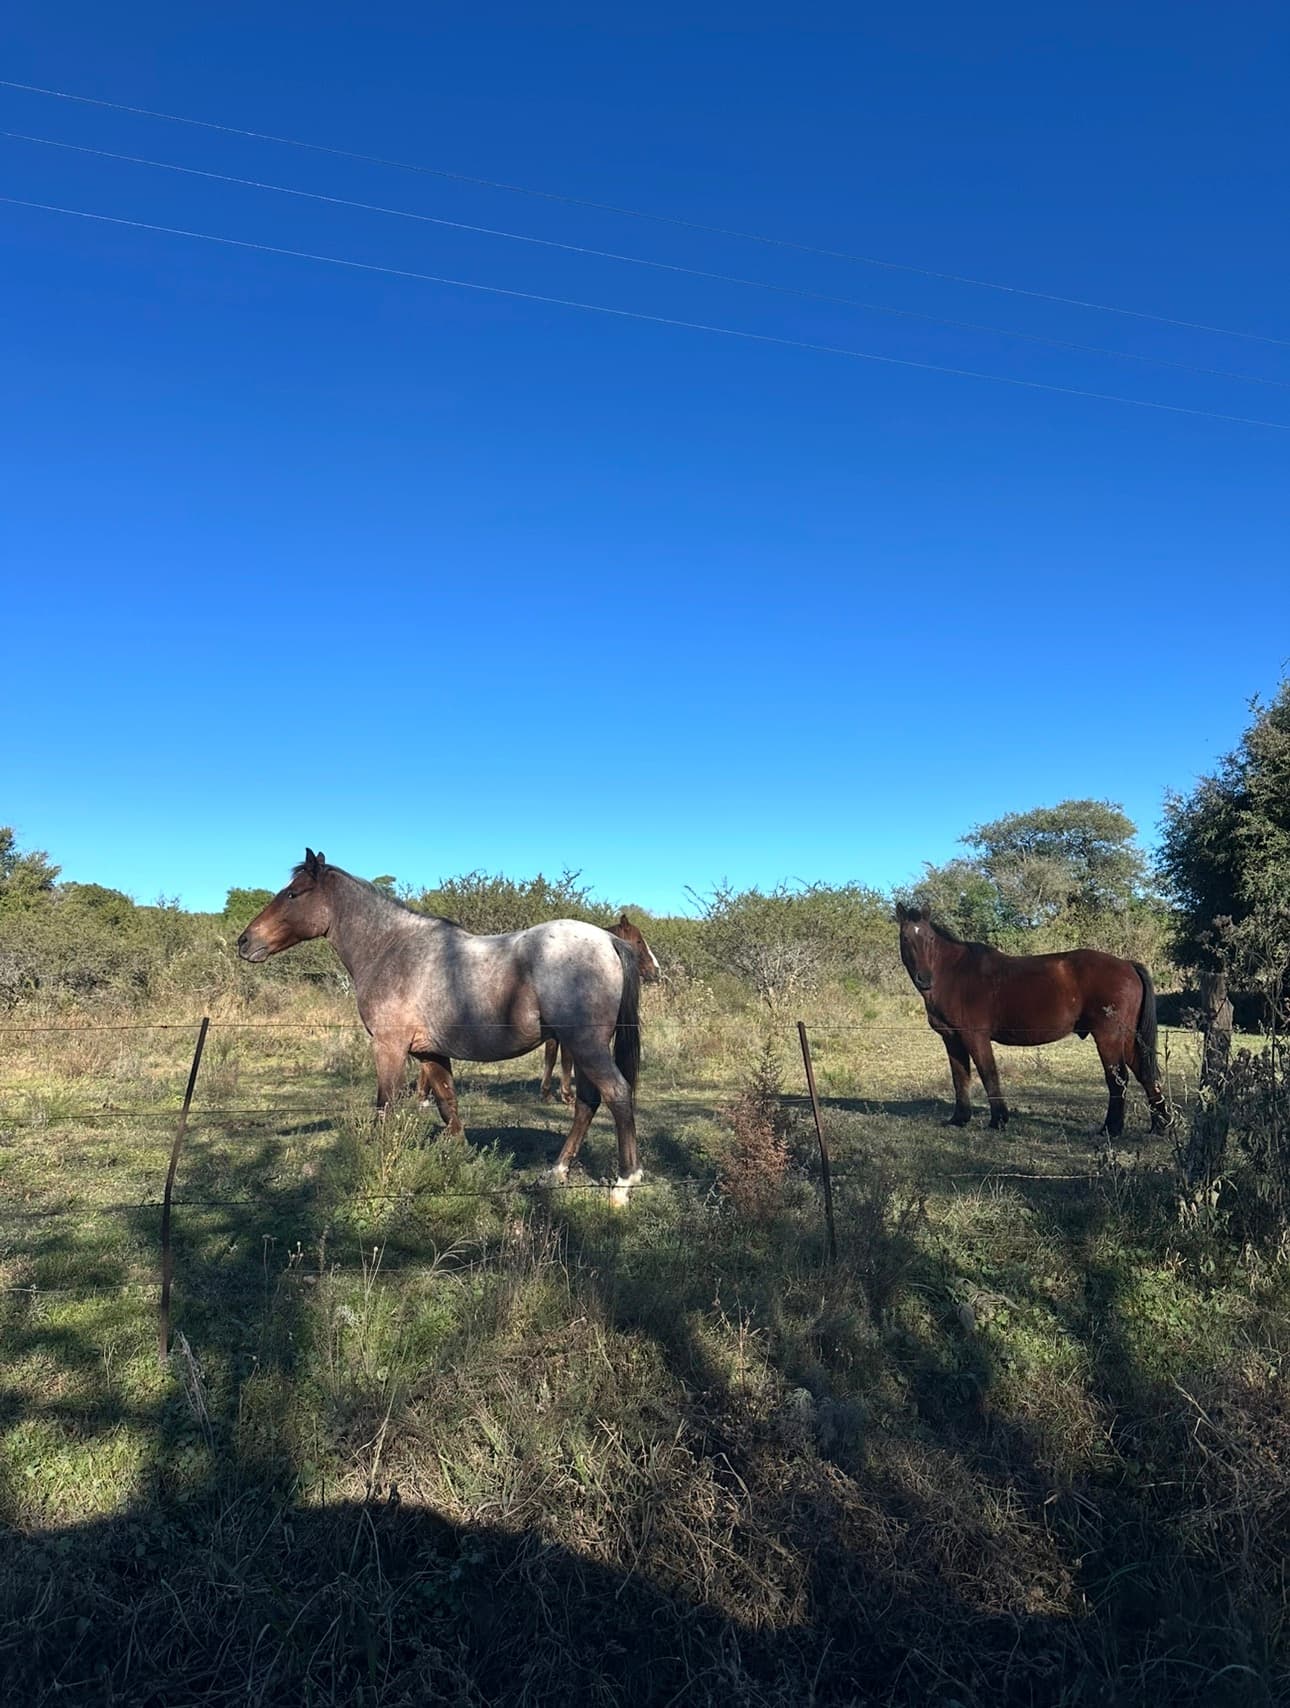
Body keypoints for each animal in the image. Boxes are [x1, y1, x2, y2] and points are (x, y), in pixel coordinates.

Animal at [238, 851, 644, 1201]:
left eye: (292, 894)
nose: (244, 941)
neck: (391, 949)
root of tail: (609, 940)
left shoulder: (389, 1047)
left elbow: (385, 1105)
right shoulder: (429, 1053)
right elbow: (448, 1105)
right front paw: (463, 1163)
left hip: (586, 1047)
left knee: (616, 1094)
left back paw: (624, 1184)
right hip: (580, 1048)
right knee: (588, 1102)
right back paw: (556, 1171)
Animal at [534, 914, 661, 1106]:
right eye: (638, 941)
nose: (656, 971)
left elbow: (551, 1056)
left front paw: (547, 1093)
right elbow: (564, 1058)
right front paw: (566, 1095)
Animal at [895, 903, 1170, 1137]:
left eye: (930, 939)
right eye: (906, 938)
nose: (924, 978)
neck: (954, 974)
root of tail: (1127, 965)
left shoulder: (975, 1037)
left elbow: (988, 1074)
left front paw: (998, 1120)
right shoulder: (952, 1039)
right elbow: (960, 1078)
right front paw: (959, 1119)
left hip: (1108, 1037)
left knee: (1118, 1079)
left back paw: (1110, 1129)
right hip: (1128, 1038)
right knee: (1145, 1075)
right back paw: (1160, 1125)